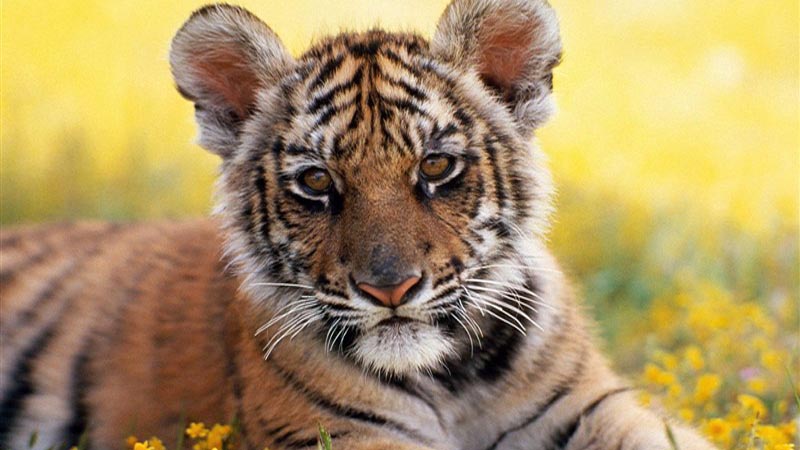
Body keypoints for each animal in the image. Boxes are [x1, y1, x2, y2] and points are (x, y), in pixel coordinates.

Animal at [0, 1, 718, 449]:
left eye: (436, 165)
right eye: (317, 182)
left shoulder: (597, 409)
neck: (453, 381)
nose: (389, 289)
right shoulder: (343, 435)